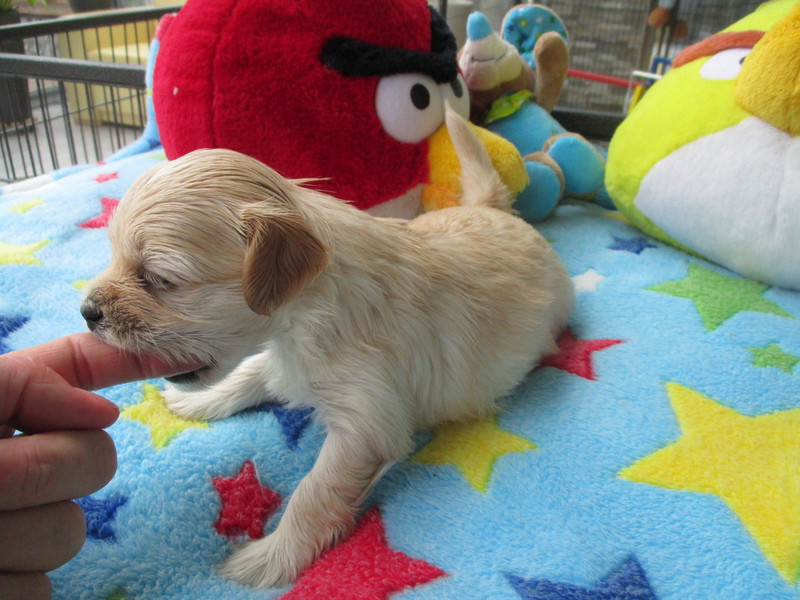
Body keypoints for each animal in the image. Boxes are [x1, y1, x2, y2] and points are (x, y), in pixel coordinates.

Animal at [81, 108, 573, 588]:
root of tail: (494, 210)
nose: (86, 310)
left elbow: (314, 492)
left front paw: (271, 557)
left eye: (160, 279)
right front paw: (205, 399)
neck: (302, 316)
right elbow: (253, 370)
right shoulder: (285, 359)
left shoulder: (366, 423)